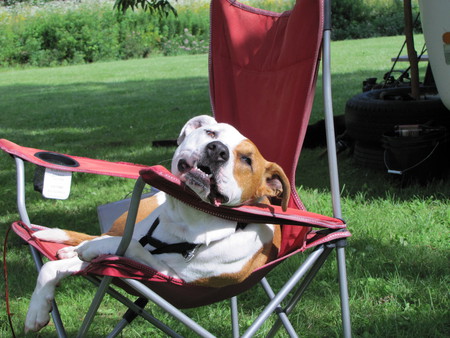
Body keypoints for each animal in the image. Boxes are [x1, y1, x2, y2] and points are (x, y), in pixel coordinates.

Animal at [25, 115, 292, 332]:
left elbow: (129, 247)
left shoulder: (170, 277)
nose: (217, 150)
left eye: (247, 160)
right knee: (97, 237)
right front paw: (36, 310)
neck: (188, 218)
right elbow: (51, 268)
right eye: (211, 133)